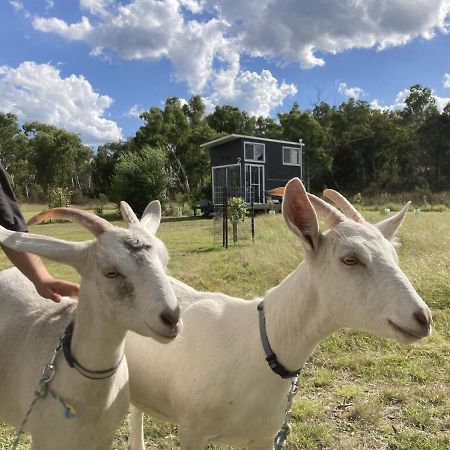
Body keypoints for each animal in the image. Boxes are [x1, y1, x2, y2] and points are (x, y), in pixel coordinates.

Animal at [125, 179, 430, 450]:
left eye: (394, 255)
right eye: (349, 259)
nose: (423, 318)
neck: (259, 345)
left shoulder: (262, 437)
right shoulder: (192, 432)